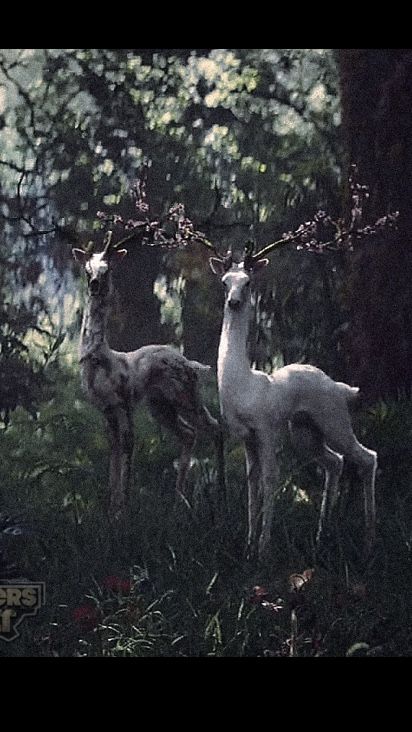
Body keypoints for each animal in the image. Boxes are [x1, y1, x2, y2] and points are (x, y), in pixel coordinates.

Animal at [73, 233, 222, 520]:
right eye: (87, 270)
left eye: (107, 269)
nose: (95, 284)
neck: (101, 359)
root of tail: (192, 364)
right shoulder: (105, 407)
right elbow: (114, 446)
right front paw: (111, 506)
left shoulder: (126, 399)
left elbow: (129, 443)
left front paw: (123, 508)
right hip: (160, 405)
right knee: (188, 433)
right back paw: (179, 499)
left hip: (186, 394)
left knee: (214, 427)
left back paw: (221, 496)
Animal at [208, 243, 378, 564]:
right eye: (224, 281)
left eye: (248, 282)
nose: (233, 302)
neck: (243, 386)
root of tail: (343, 389)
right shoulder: (245, 437)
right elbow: (252, 486)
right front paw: (248, 545)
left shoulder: (266, 430)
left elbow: (270, 479)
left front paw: (263, 550)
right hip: (305, 432)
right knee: (335, 462)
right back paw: (322, 535)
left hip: (334, 421)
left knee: (367, 456)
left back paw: (368, 537)